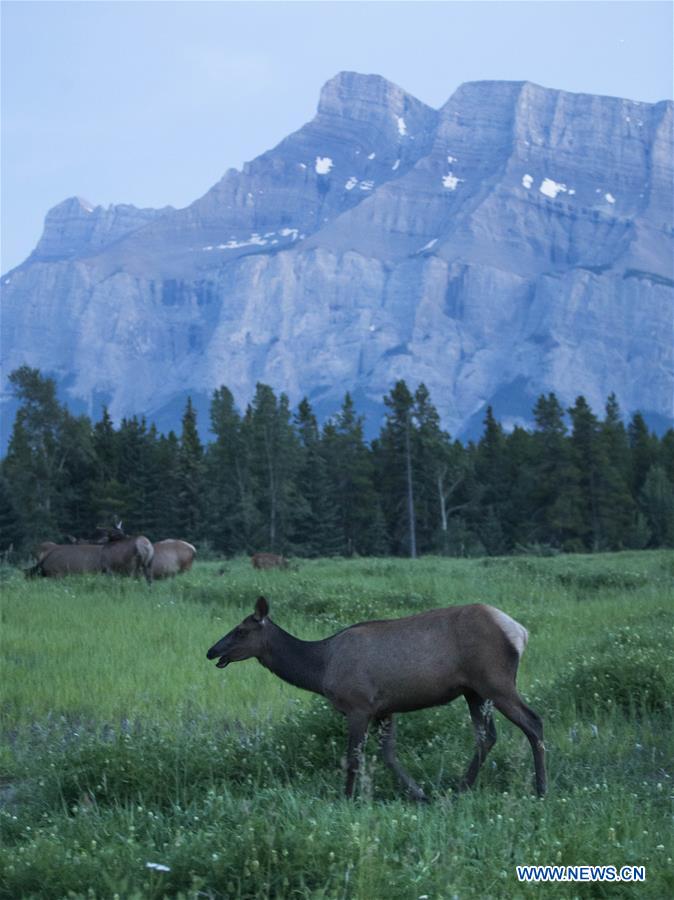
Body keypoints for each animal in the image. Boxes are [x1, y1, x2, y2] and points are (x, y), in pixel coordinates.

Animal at [206, 596, 544, 800]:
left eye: (240, 630)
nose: (211, 650)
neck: (320, 669)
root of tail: (521, 632)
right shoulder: (384, 709)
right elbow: (388, 754)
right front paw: (419, 794)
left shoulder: (358, 705)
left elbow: (354, 758)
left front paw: (346, 798)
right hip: (474, 691)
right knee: (486, 736)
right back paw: (460, 788)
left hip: (496, 682)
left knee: (534, 722)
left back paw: (541, 790)